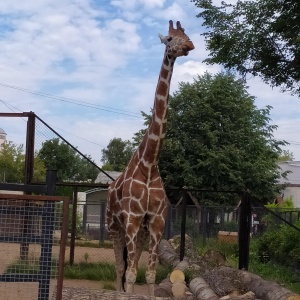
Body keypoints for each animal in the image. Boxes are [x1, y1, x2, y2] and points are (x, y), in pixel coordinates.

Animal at [106, 19, 195, 296]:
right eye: (170, 38)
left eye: (187, 34)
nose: (189, 45)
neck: (150, 161)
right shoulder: (132, 220)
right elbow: (130, 273)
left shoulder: (155, 222)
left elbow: (151, 274)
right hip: (115, 227)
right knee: (120, 270)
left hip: (140, 232)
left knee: (129, 267)